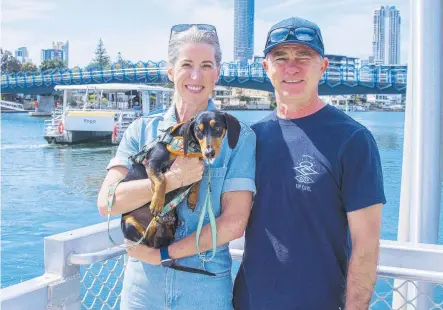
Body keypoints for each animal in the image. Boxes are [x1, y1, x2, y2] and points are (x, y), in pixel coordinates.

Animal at [119, 111, 241, 249]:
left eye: (217, 128)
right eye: (198, 130)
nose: (209, 153)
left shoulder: (199, 167)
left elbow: (197, 182)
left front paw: (192, 199)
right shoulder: (152, 163)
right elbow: (162, 180)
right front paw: (157, 202)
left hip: (172, 228)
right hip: (129, 223)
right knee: (146, 240)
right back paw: (155, 221)